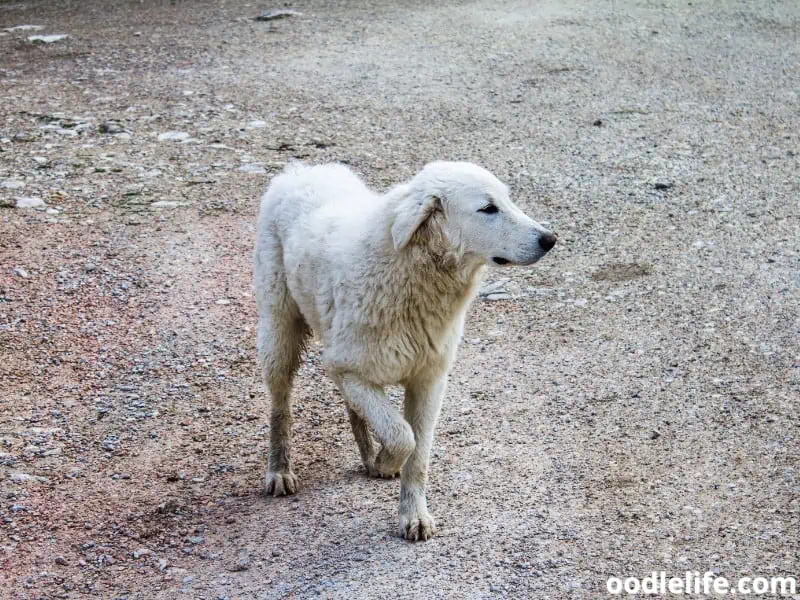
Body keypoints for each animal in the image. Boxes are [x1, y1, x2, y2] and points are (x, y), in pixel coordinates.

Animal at [253, 162, 552, 540]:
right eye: (488, 208)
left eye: (508, 200)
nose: (550, 239)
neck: (411, 273)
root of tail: (300, 169)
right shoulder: (349, 369)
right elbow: (401, 437)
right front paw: (387, 460)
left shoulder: (428, 381)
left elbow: (418, 454)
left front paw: (413, 515)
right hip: (279, 331)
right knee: (281, 406)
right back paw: (280, 470)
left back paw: (368, 457)